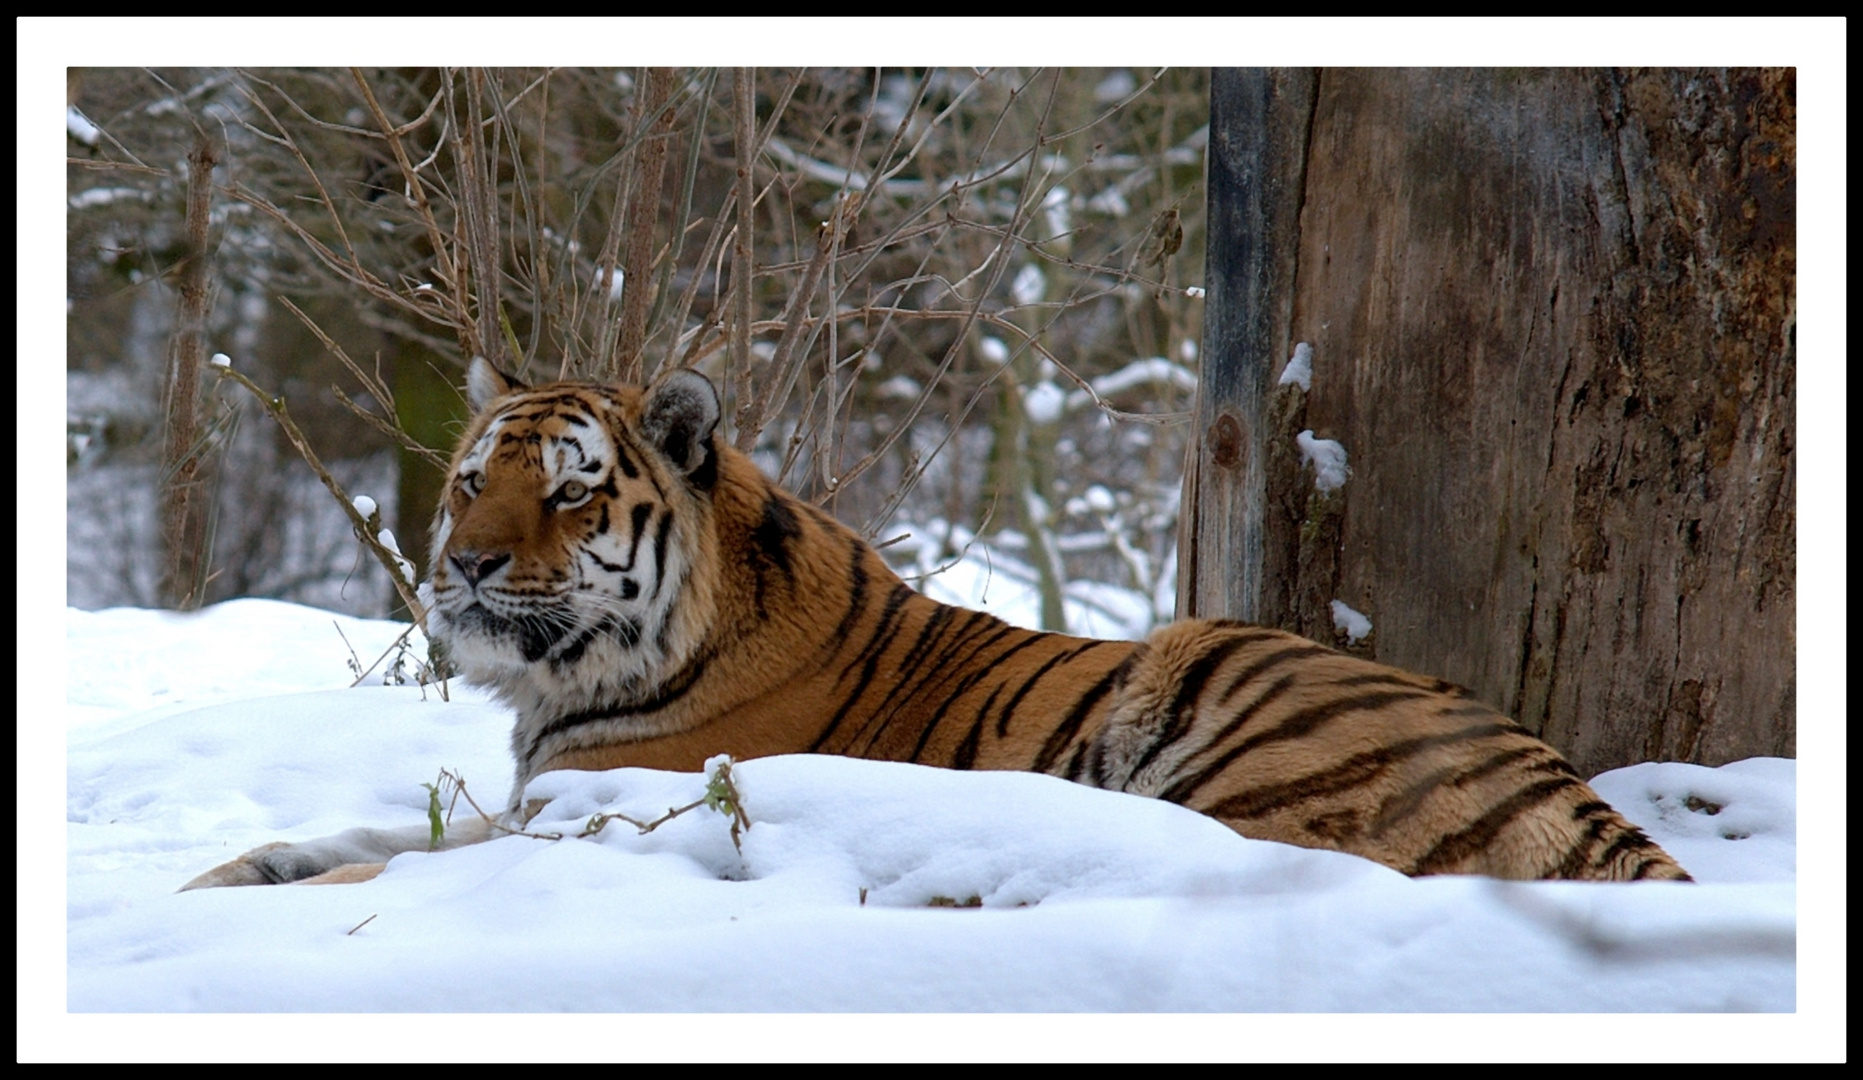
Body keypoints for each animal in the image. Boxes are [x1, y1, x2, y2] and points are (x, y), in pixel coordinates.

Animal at [185, 361, 1691, 886]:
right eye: (469, 478)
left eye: (567, 490)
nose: (462, 564)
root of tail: (1566, 781)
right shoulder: (530, 802)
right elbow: (357, 840)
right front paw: (234, 874)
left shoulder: (598, 814)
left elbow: (394, 870)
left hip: (1224, 688)